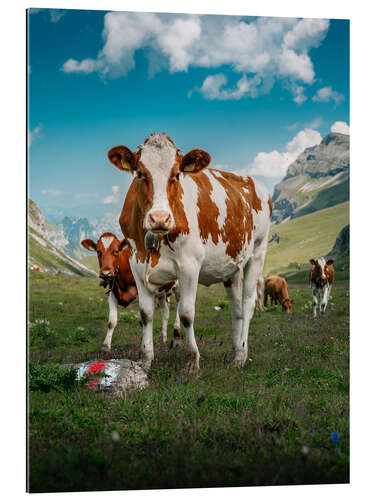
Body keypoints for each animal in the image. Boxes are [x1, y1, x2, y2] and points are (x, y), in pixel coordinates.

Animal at [107, 133, 272, 372]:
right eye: (140, 173)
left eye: (176, 174)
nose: (159, 218)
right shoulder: (136, 263)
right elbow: (145, 314)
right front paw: (145, 360)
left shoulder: (189, 264)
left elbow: (186, 313)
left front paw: (193, 359)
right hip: (231, 265)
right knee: (236, 309)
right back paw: (235, 352)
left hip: (258, 252)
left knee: (248, 303)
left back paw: (242, 354)